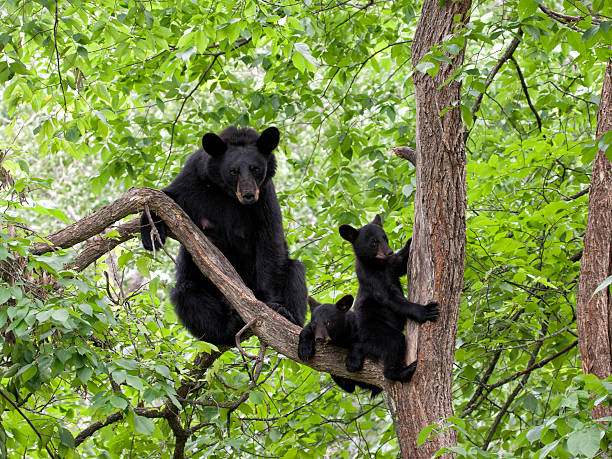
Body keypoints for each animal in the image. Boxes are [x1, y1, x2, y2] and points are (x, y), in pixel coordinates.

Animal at [141, 126, 308, 344]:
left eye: (255, 169)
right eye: (233, 171)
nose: (248, 195)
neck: (227, 193)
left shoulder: (265, 196)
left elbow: (270, 240)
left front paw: (273, 305)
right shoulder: (193, 179)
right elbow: (166, 197)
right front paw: (149, 234)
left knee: (295, 270)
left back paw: (289, 315)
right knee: (186, 293)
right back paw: (227, 326)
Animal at [340, 216, 440, 384]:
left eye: (385, 238)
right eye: (374, 242)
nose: (389, 252)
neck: (379, 265)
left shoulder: (392, 265)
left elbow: (402, 264)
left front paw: (410, 241)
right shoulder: (372, 279)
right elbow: (391, 298)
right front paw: (425, 310)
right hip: (373, 327)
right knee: (394, 341)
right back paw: (402, 371)